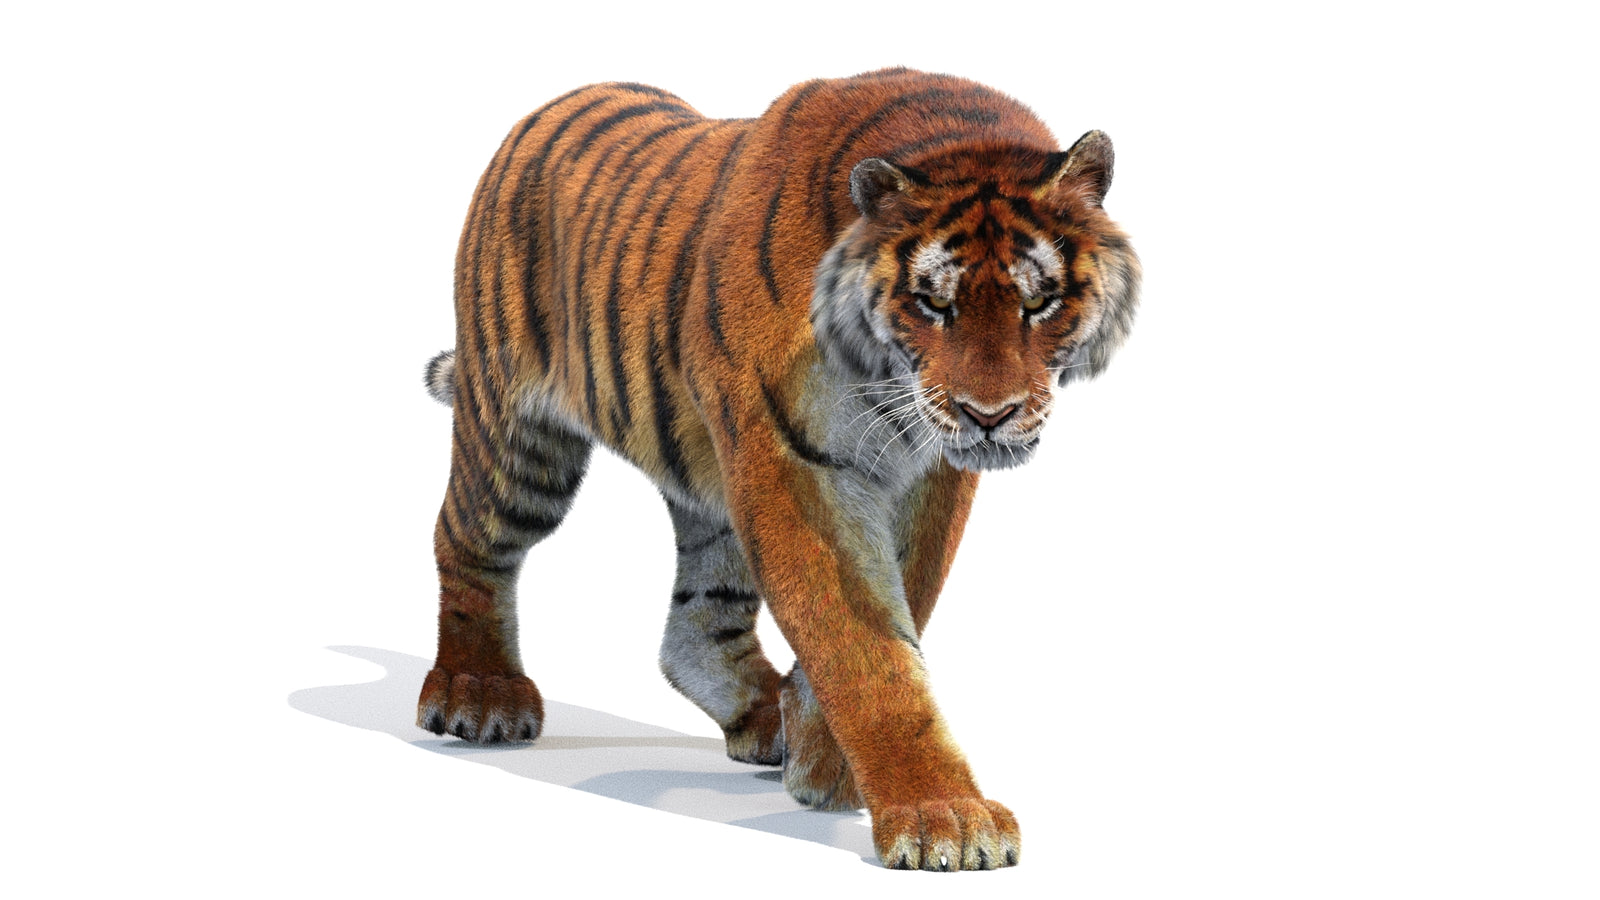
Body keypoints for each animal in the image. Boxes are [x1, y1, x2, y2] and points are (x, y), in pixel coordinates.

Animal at [416, 67, 1140, 871]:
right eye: (932, 302)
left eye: (1040, 302)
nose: (990, 415)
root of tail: (553, 105)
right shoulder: (795, 464)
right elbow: (862, 645)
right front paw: (942, 815)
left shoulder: (927, 477)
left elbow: (902, 606)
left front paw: (823, 763)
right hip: (520, 442)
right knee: (466, 540)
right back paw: (480, 693)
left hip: (712, 480)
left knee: (697, 624)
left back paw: (766, 719)